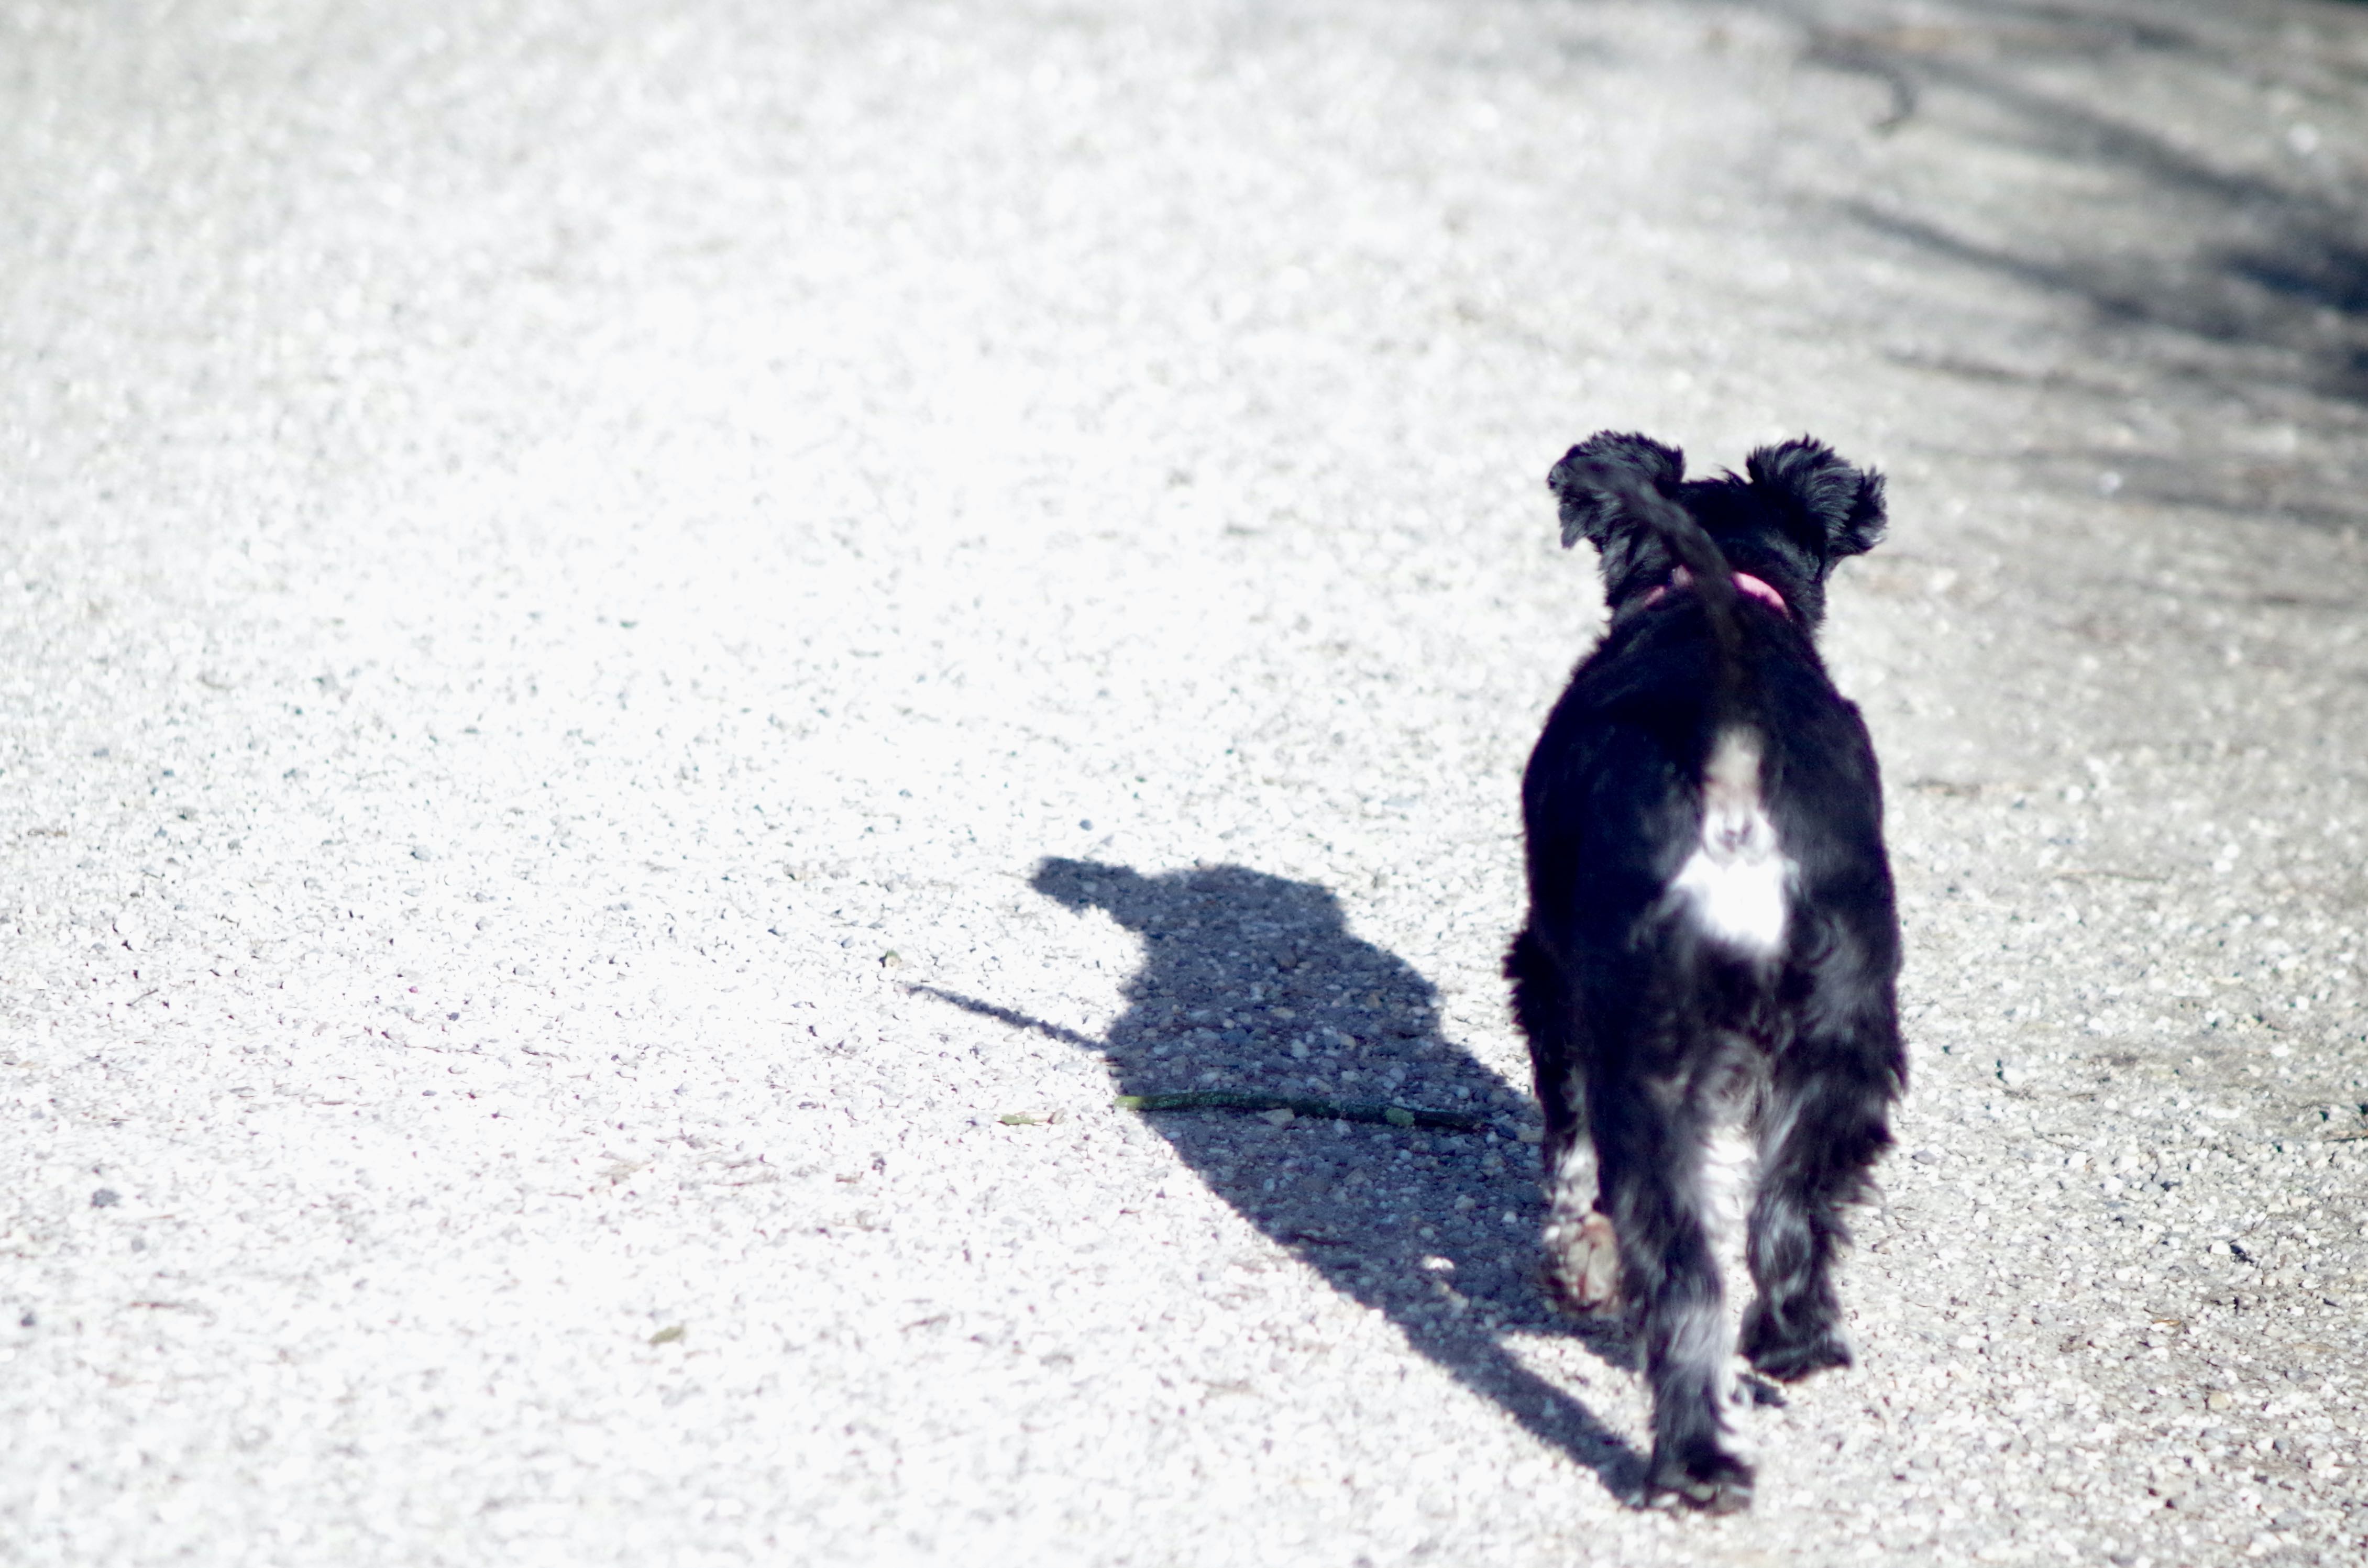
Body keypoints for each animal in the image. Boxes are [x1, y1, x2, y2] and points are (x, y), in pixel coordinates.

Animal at [1504, 431, 1905, 1512]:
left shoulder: (1548, 974)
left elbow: (1566, 1142)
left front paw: (1573, 1256)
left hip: (1643, 1037)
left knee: (1680, 1268)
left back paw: (1691, 1461)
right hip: (1848, 1030)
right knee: (1786, 1213)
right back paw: (1794, 1343)